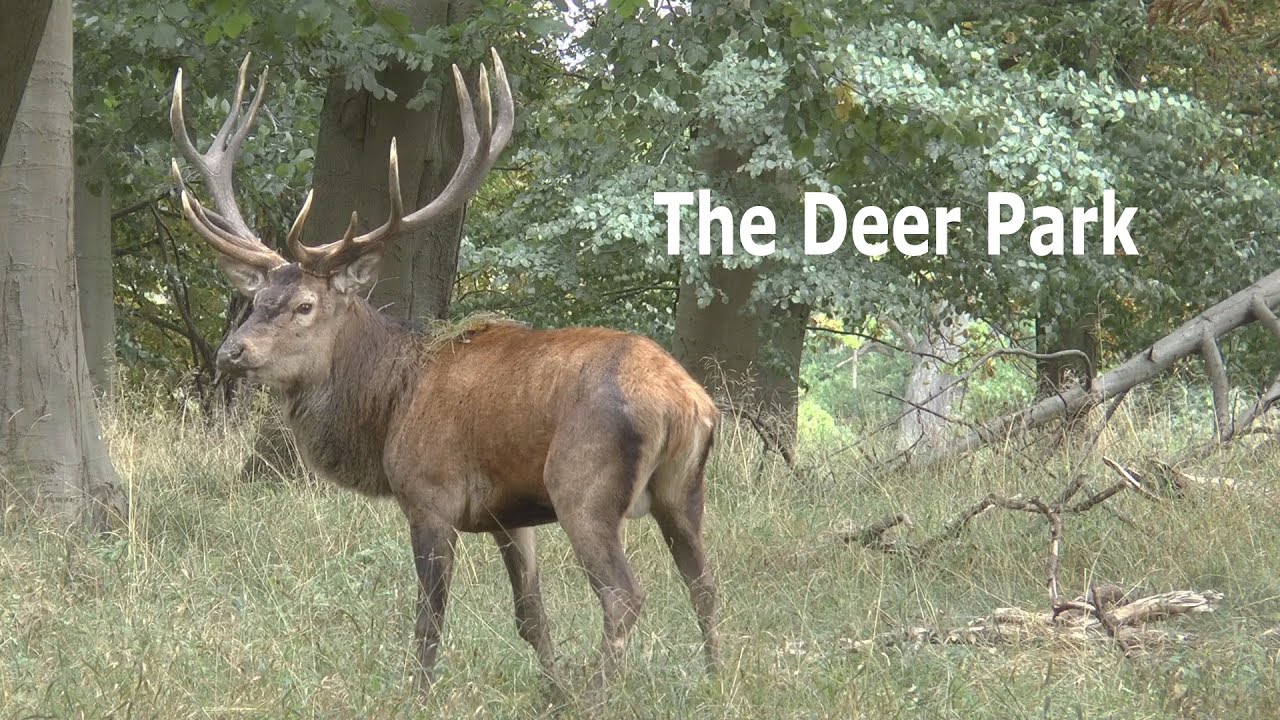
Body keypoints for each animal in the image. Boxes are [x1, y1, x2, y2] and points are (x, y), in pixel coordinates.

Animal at [167, 51, 720, 697]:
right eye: (256, 300)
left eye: (305, 304)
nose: (231, 351)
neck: (389, 408)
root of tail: (686, 402)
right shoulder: (509, 514)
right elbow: (530, 615)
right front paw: (550, 691)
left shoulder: (431, 497)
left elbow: (428, 620)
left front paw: (421, 693)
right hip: (682, 491)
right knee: (703, 583)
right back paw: (715, 680)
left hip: (584, 487)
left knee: (625, 596)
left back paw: (597, 694)